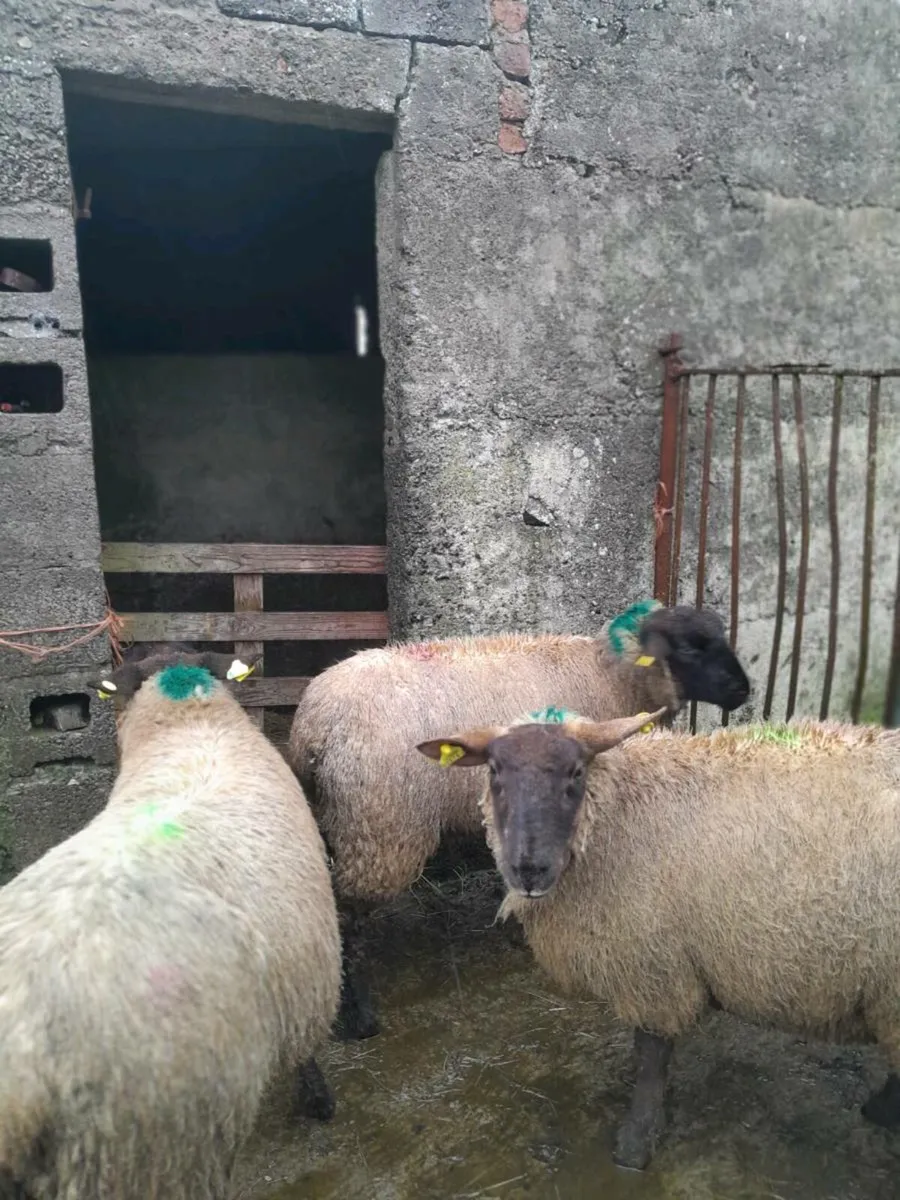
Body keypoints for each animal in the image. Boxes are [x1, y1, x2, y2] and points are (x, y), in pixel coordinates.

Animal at [288, 601, 750, 1040]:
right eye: (689, 648)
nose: (743, 690)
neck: (611, 675)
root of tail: (315, 724)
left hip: (340, 818)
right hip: (379, 827)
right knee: (348, 914)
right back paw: (361, 1017)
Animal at [417, 710, 900, 1171]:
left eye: (576, 772)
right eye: (494, 770)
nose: (529, 870)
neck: (617, 813)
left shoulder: (652, 965)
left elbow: (652, 1057)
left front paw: (635, 1144)